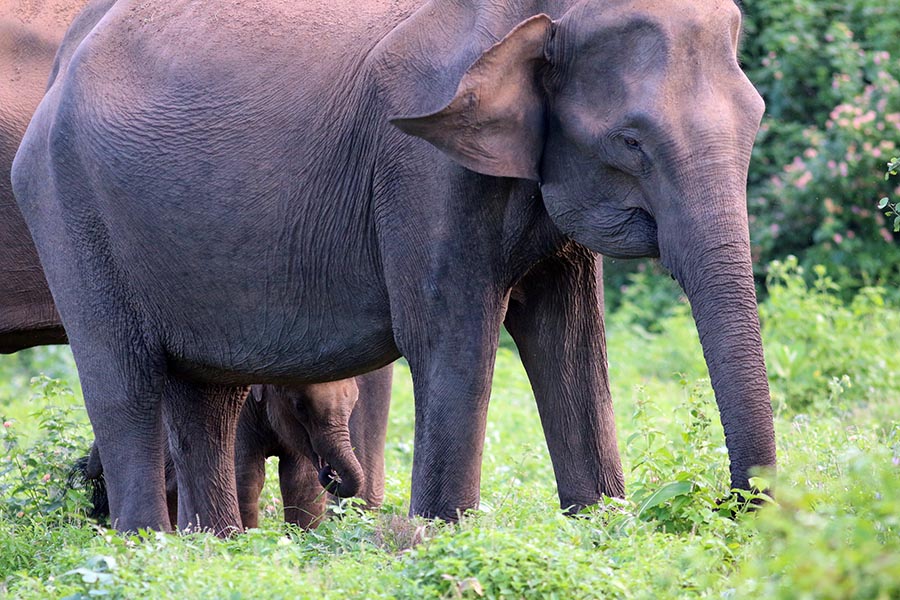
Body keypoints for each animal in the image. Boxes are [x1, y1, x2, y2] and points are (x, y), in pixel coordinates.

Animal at [10, 0, 776, 536]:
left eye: (758, 118)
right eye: (631, 141)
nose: (731, 503)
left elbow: (570, 342)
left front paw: (600, 533)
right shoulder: (418, 165)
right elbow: (452, 340)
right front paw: (443, 539)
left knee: (206, 395)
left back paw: (215, 554)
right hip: (65, 205)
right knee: (125, 385)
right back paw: (150, 552)